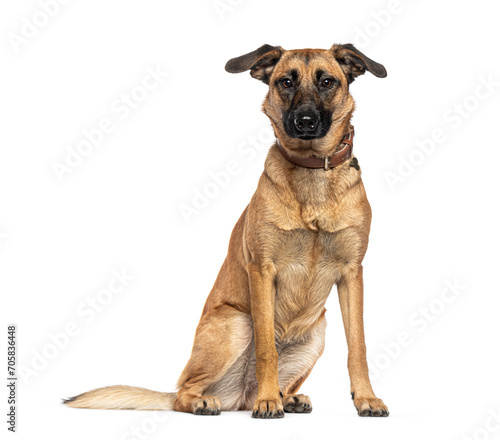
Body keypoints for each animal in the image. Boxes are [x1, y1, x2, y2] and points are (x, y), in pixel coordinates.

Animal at [63, 43, 390, 420]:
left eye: (327, 82)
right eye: (286, 82)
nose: (305, 122)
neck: (311, 174)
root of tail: (237, 395)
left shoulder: (352, 274)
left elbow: (358, 346)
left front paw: (366, 398)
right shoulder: (262, 271)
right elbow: (266, 349)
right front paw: (268, 401)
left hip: (315, 333)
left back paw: (287, 397)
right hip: (236, 322)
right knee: (183, 392)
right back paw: (219, 400)